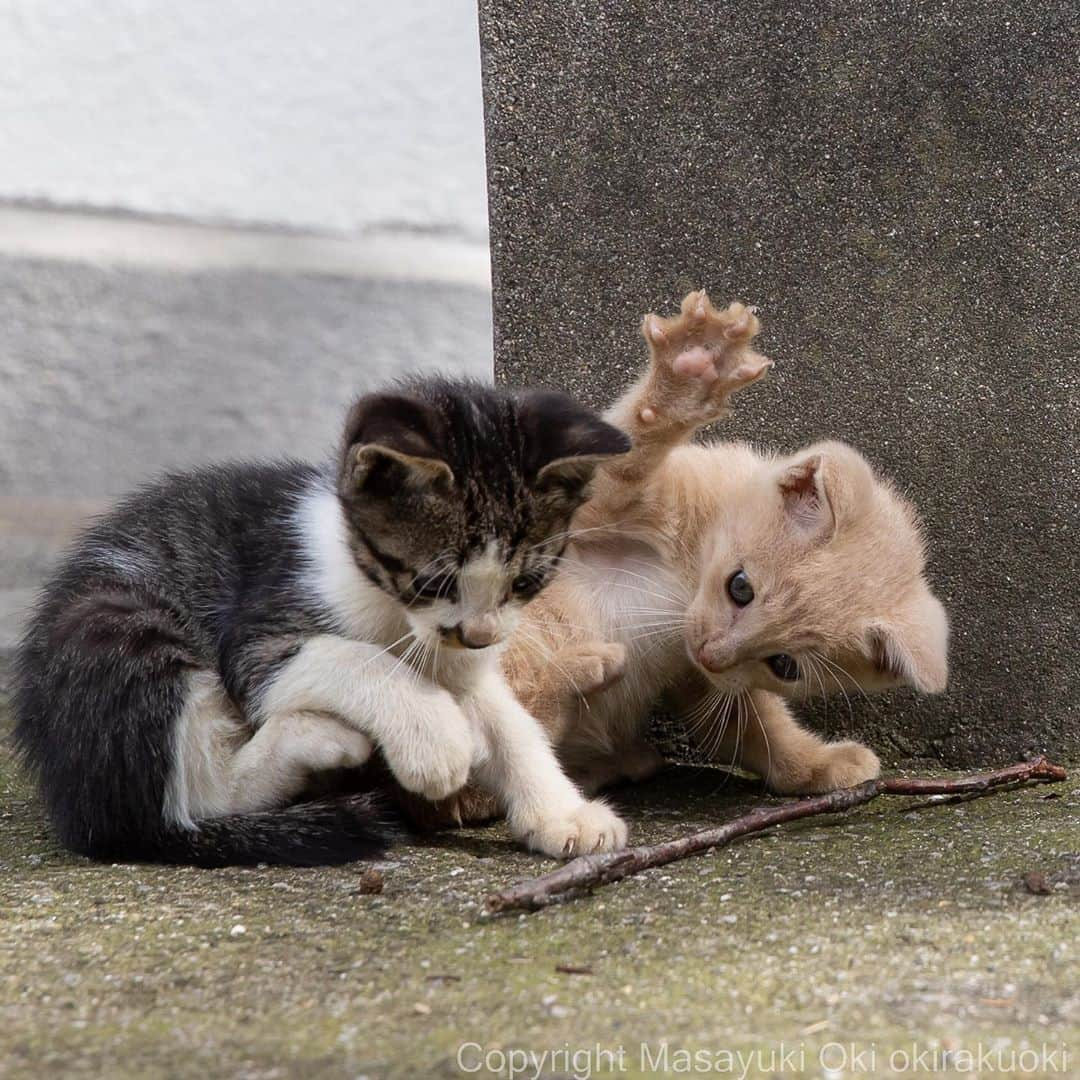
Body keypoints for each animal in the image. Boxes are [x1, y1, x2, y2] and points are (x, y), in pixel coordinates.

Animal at [12, 375, 630, 864]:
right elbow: (351, 655)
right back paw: (319, 737)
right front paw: (435, 741)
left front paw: (562, 813)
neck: (390, 608)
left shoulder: (461, 661)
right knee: (197, 797)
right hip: (113, 622)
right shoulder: (259, 636)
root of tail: (75, 804)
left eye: (524, 583)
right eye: (435, 582)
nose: (478, 636)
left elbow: (511, 724)